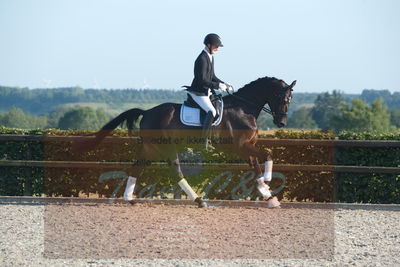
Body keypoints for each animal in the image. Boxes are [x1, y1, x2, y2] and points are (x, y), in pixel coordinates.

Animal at [79, 76, 296, 208]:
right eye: (283, 98)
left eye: (290, 100)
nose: (282, 122)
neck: (243, 109)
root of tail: (147, 112)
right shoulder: (241, 146)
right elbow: (267, 155)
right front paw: (268, 181)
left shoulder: (247, 147)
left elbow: (256, 167)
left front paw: (269, 196)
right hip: (166, 147)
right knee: (176, 171)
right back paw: (199, 200)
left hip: (150, 148)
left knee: (137, 167)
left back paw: (129, 198)